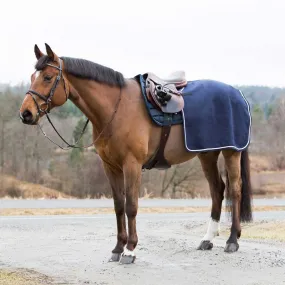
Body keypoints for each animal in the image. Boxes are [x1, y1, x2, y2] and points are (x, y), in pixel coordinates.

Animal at [19, 43, 251, 262]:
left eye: (48, 77)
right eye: (32, 77)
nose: (26, 113)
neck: (116, 108)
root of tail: (238, 95)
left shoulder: (132, 165)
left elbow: (131, 205)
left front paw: (130, 250)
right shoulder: (110, 167)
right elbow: (118, 206)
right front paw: (117, 248)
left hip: (231, 153)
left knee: (235, 190)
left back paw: (232, 240)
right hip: (207, 154)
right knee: (217, 190)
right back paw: (207, 239)